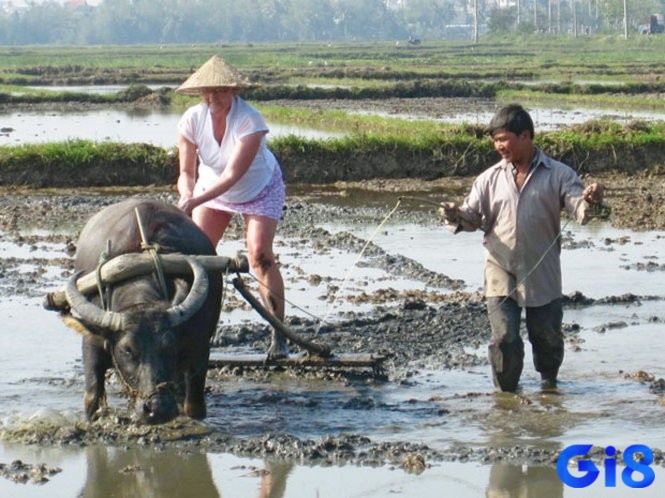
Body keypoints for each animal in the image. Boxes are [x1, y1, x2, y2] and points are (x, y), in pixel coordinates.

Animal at [62, 198, 223, 424]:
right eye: (127, 350)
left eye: (169, 345)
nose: (157, 408)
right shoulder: (92, 343)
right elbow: (92, 398)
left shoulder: (199, 348)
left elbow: (194, 406)